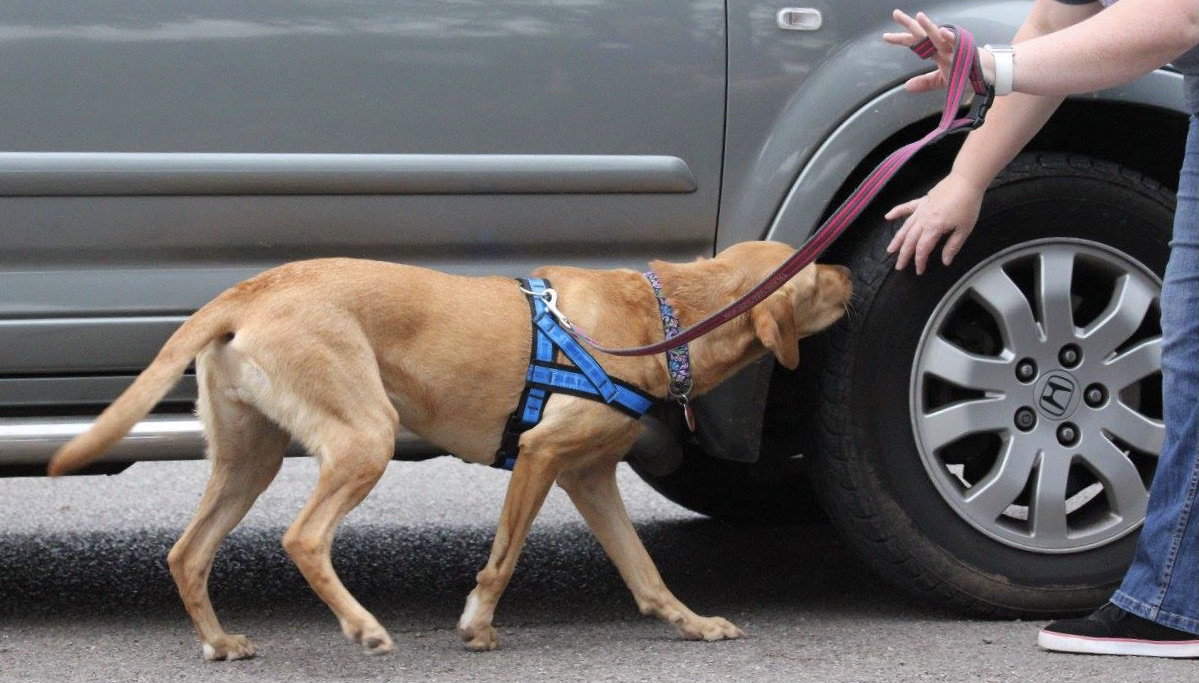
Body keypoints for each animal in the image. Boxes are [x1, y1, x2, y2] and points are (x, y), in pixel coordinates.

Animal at [49, 240, 853, 661]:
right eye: (815, 275)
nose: (850, 271)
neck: (660, 318)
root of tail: (245, 292)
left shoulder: (589, 477)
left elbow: (645, 571)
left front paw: (692, 622)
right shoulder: (540, 457)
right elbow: (501, 560)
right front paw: (477, 623)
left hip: (251, 460)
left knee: (187, 552)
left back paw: (219, 642)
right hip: (364, 436)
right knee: (303, 537)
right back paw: (362, 626)